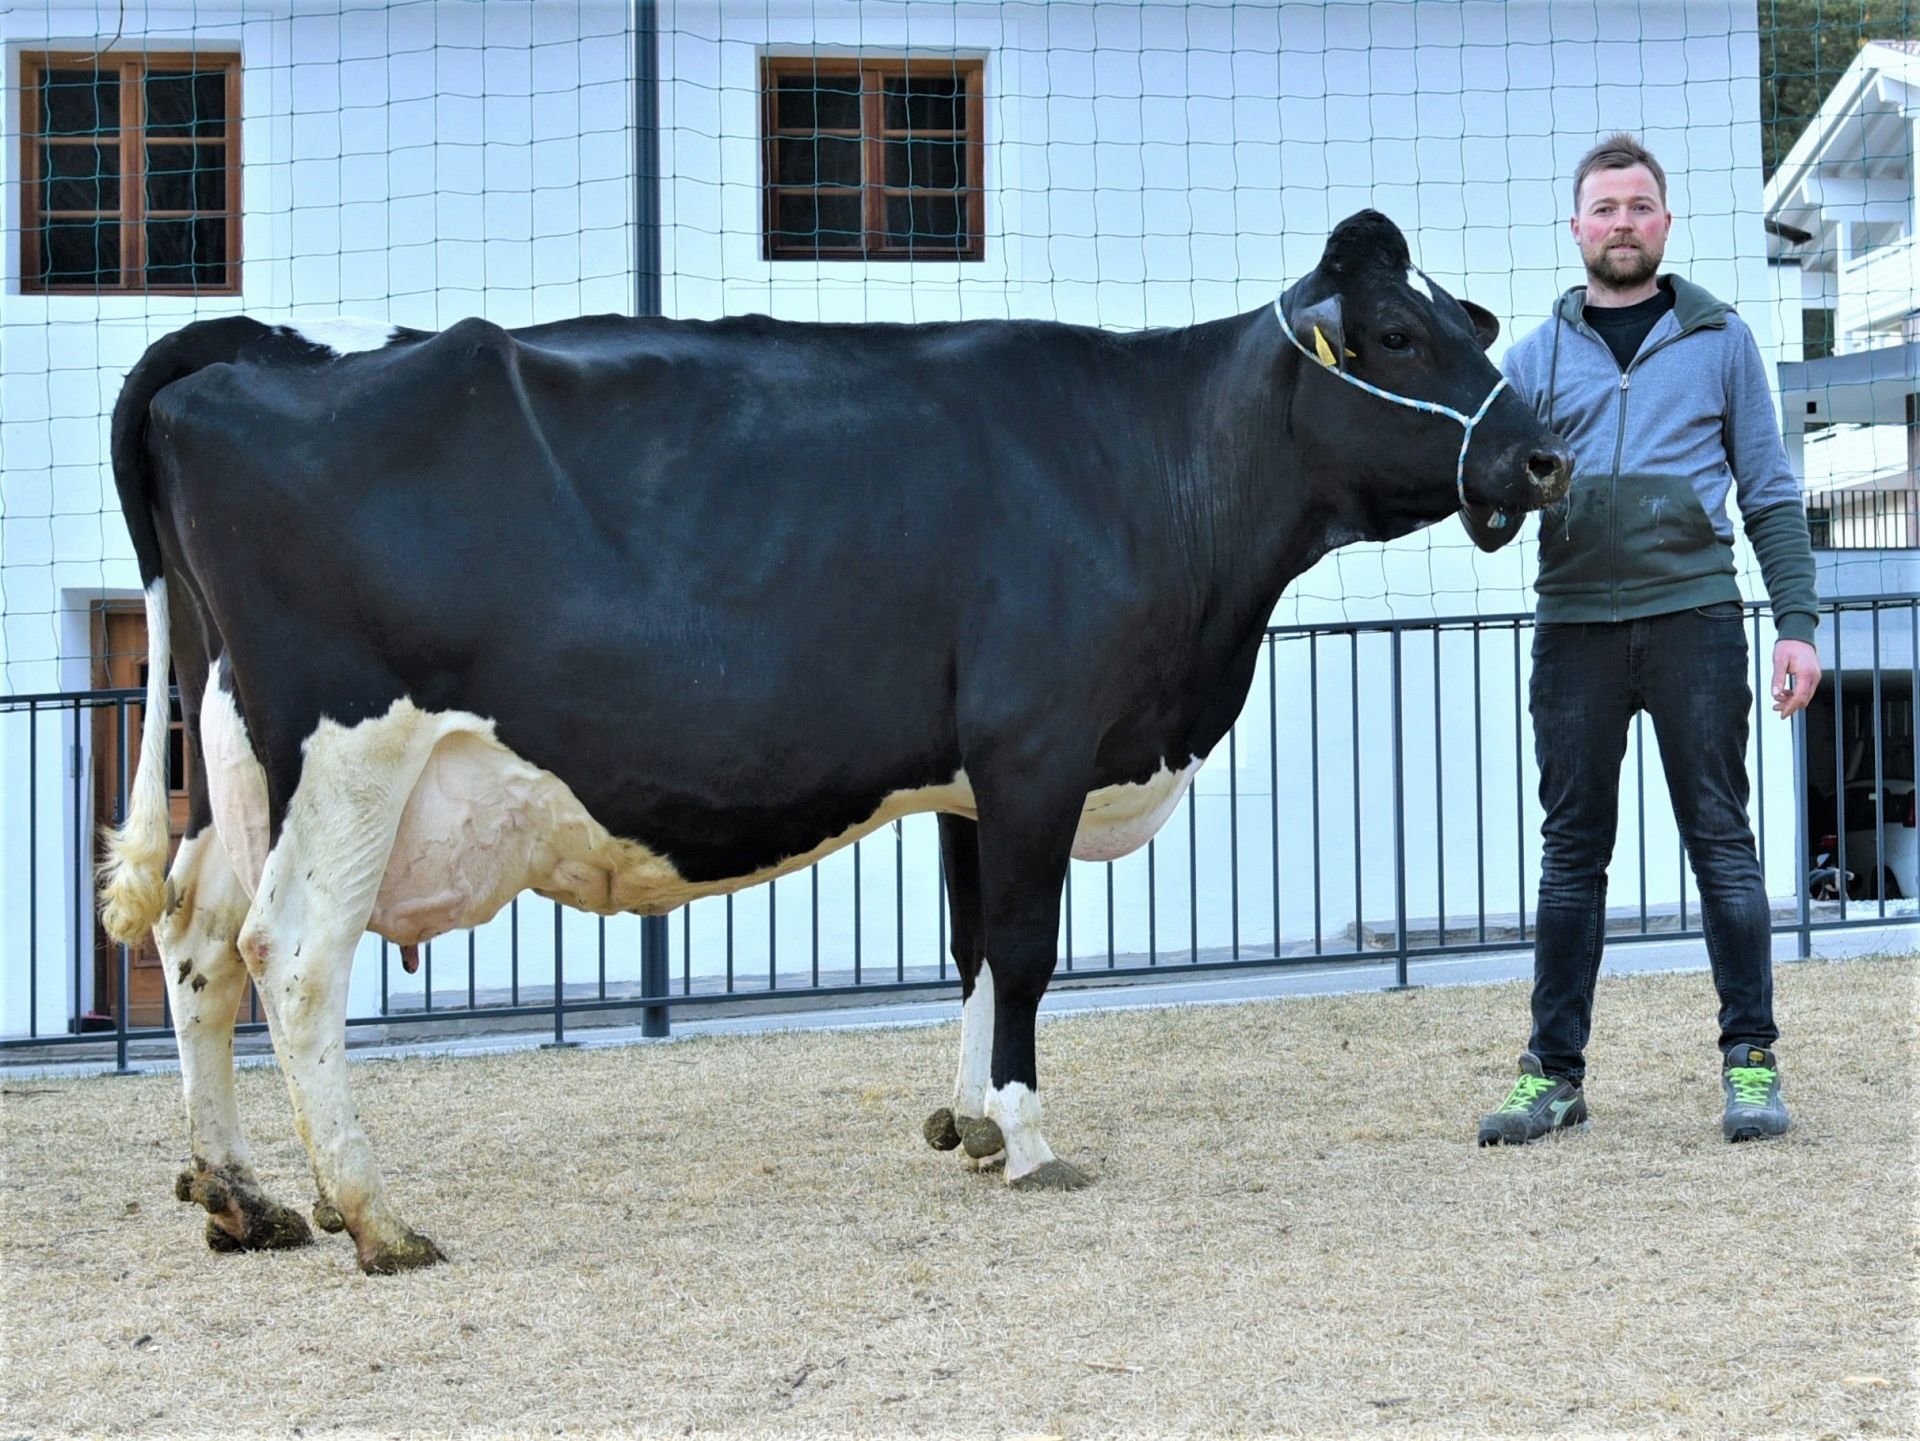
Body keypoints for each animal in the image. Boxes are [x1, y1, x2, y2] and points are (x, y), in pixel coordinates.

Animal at [105, 211, 1566, 1274]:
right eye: (1396, 334)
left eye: (1472, 321)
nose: (1544, 458)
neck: (1149, 464)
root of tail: (261, 354)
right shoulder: (1036, 744)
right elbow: (1026, 950)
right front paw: (1029, 1136)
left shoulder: (974, 774)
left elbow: (975, 949)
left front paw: (970, 1121)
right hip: (349, 751)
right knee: (292, 956)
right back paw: (375, 1216)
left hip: (234, 756)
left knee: (192, 942)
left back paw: (238, 1195)